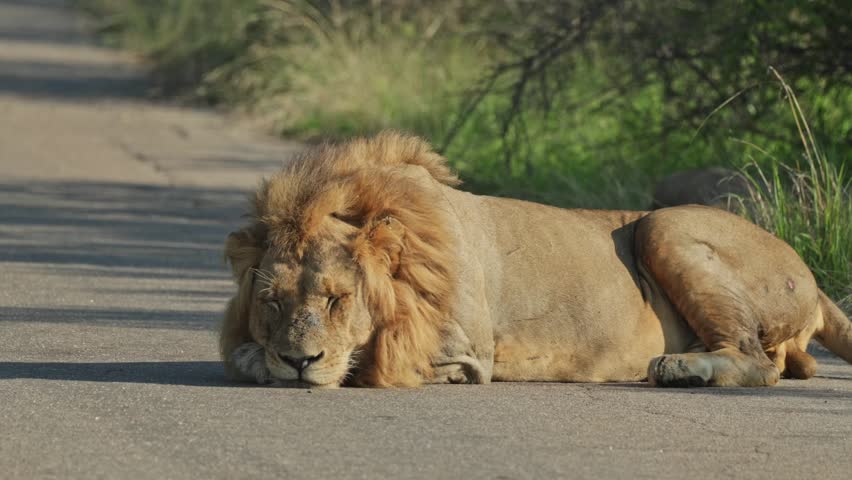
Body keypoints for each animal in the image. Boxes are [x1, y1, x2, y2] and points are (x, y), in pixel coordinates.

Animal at [220, 131, 852, 388]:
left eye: (338, 299)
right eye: (271, 302)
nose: (299, 360)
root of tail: (810, 274)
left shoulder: (461, 351)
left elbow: (371, 358)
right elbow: (242, 355)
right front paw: (268, 362)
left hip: (665, 224)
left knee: (758, 362)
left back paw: (681, 368)